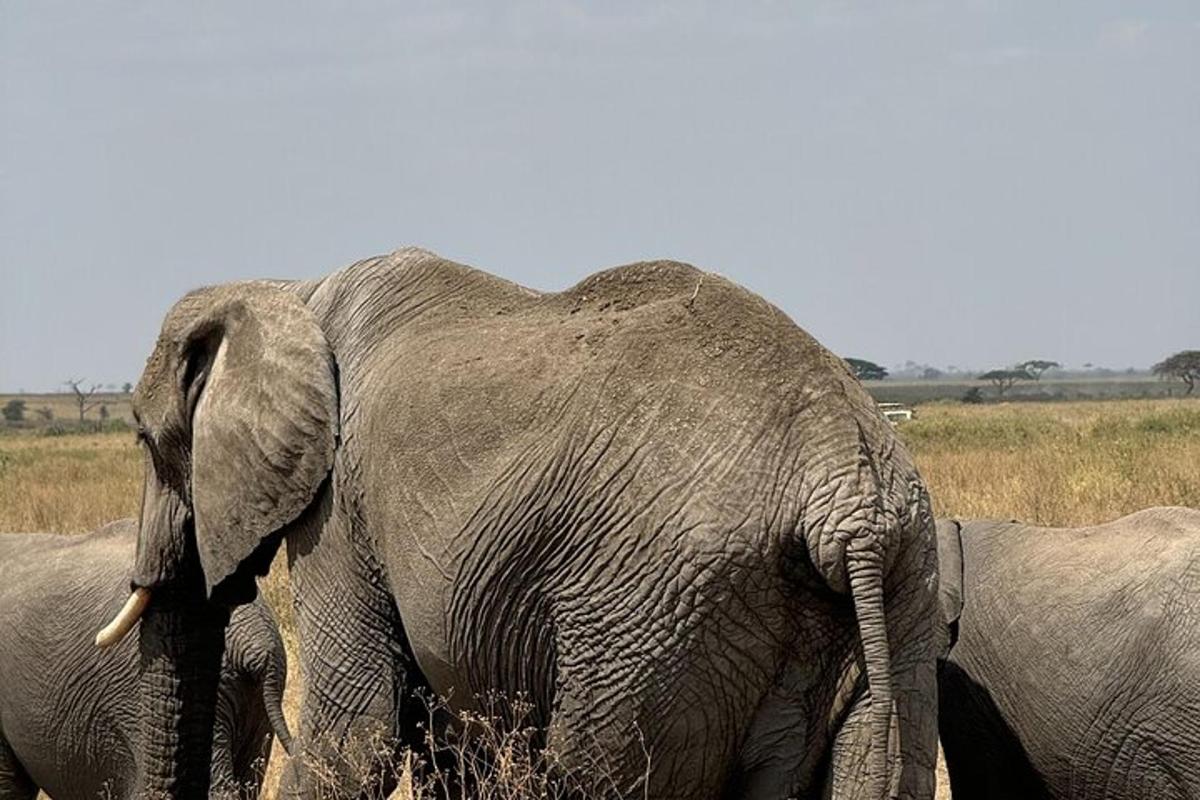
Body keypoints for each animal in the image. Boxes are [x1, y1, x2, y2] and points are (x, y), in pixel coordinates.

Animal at [96, 248, 936, 800]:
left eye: (146, 439)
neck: (289, 288)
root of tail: (847, 489)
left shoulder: (342, 511)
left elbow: (355, 735)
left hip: (655, 614)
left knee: (600, 771)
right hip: (901, 598)